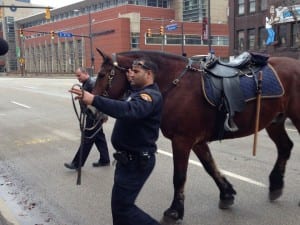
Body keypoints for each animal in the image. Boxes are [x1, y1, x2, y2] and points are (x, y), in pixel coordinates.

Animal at [92, 48, 298, 222]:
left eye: (102, 75)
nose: (91, 109)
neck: (175, 83)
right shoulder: (196, 141)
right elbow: (210, 166)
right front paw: (227, 194)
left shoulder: (182, 140)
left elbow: (179, 176)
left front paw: (174, 211)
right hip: (275, 121)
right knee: (285, 147)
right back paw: (276, 185)